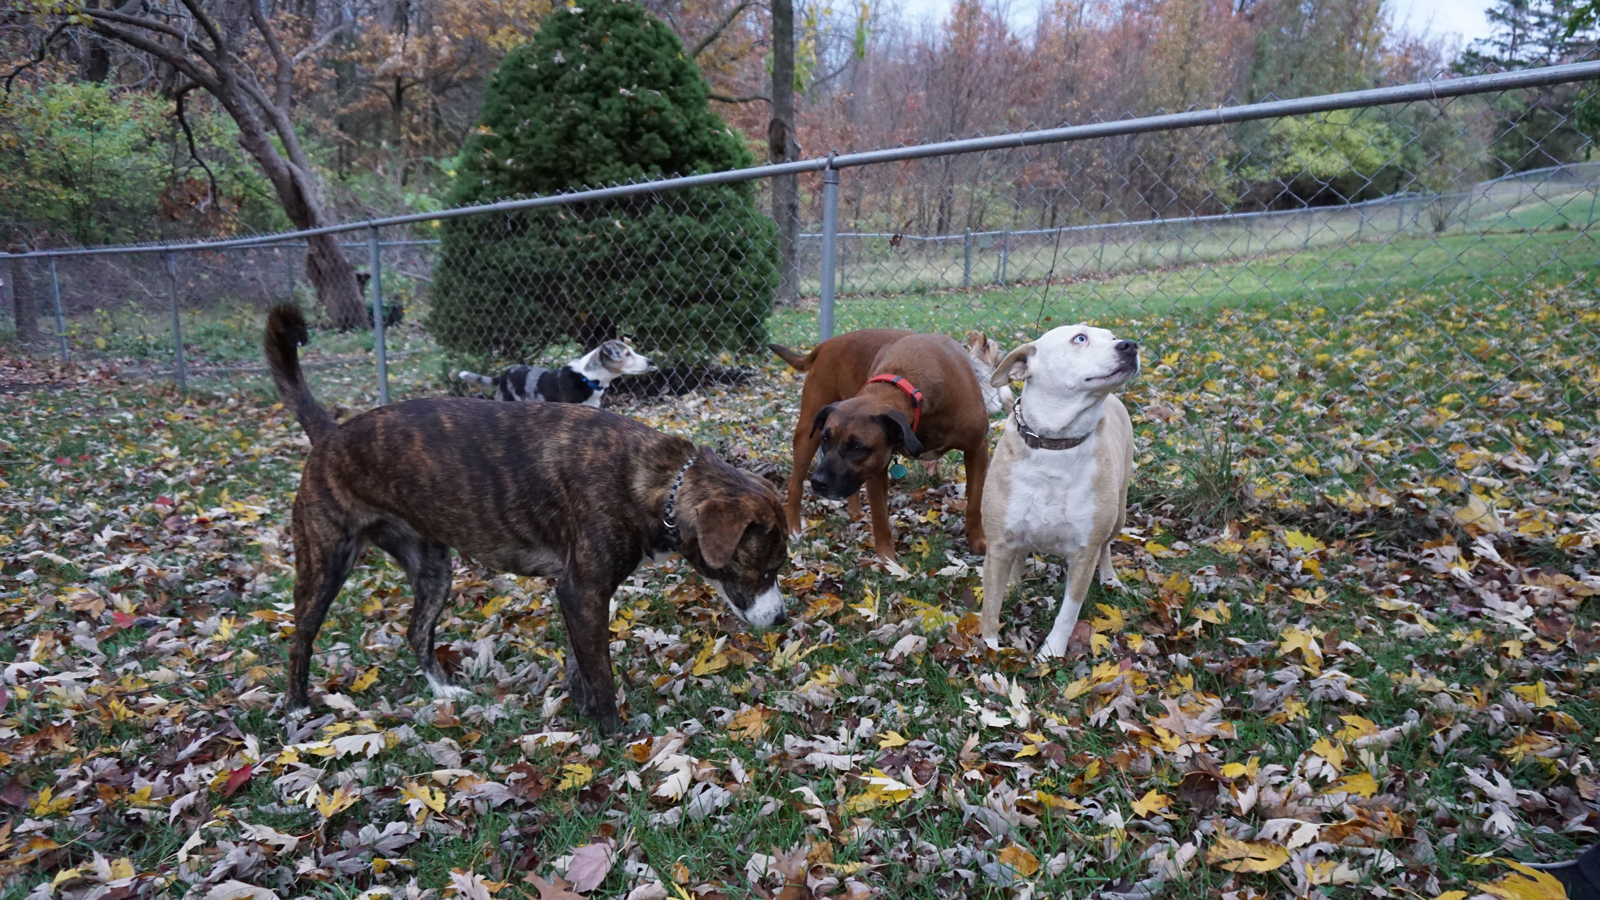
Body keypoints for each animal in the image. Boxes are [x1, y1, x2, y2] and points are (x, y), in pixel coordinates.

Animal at [764, 329, 985, 554]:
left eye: (857, 447)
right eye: (826, 439)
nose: (818, 482)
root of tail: (827, 344)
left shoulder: (977, 449)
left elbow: (976, 501)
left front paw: (978, 540)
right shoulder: (876, 468)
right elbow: (880, 519)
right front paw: (887, 560)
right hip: (807, 432)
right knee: (795, 484)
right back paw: (793, 529)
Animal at [972, 325, 1139, 656]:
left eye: (1113, 337)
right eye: (1080, 338)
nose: (1130, 345)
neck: (1056, 443)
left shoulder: (1084, 555)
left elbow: (1068, 613)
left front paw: (1051, 653)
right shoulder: (997, 544)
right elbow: (991, 603)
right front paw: (990, 647)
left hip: (1118, 514)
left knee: (1107, 547)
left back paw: (1110, 577)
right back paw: (1013, 583)